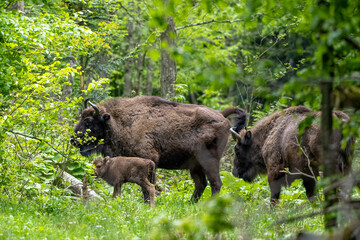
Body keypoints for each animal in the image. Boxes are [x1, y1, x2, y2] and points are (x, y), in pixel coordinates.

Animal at [71, 95, 245, 202]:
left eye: (88, 121)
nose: (73, 140)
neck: (117, 121)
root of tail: (221, 114)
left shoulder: (149, 159)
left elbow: (147, 186)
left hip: (209, 161)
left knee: (215, 183)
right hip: (195, 165)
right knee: (201, 183)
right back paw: (190, 203)